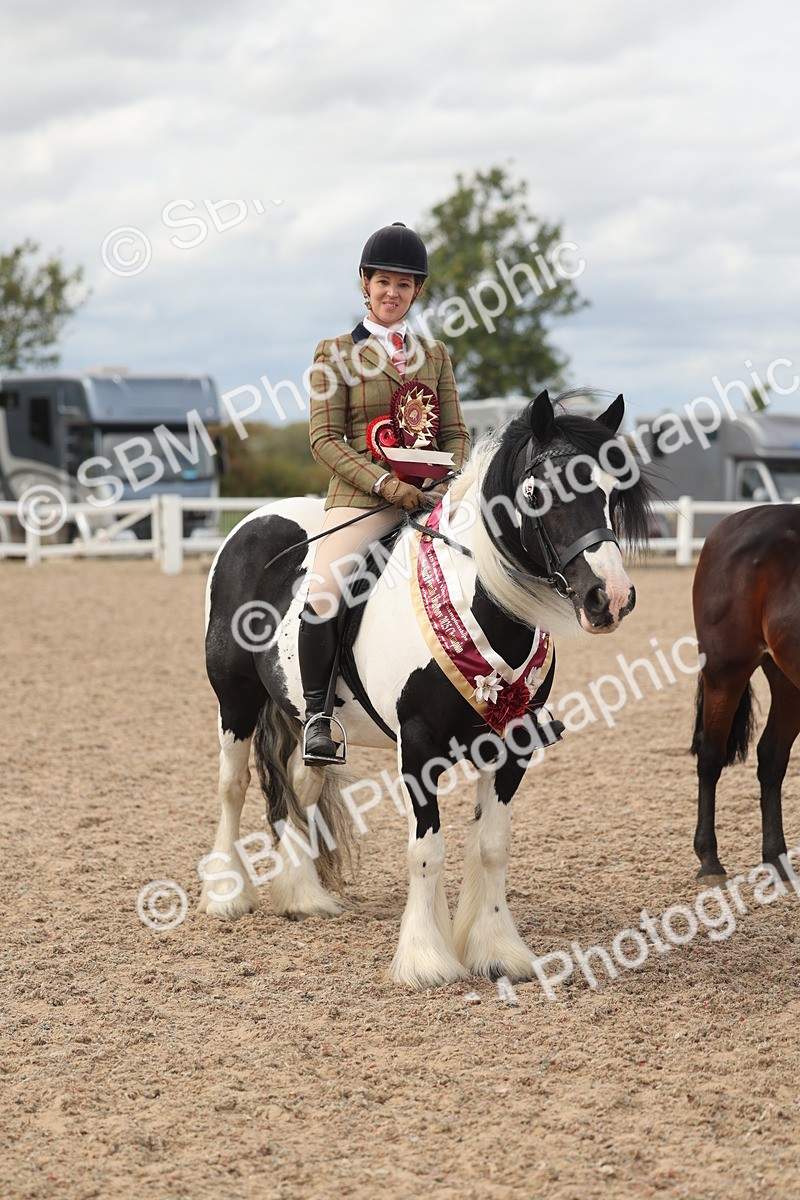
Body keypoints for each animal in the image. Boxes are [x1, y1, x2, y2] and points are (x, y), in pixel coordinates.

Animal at [198, 390, 654, 989]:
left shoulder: (513, 746)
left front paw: (496, 950)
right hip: (235, 698)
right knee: (232, 785)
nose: (612, 598)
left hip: (303, 715)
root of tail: (254, 520)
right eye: (538, 491)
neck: (476, 599)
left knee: (302, 783)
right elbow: (426, 850)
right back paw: (225, 895)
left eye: (612, 490)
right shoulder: (418, 746)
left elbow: (491, 847)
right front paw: (425, 959)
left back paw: (302, 896)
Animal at [691, 504, 800, 879]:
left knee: (772, 757)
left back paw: (777, 857)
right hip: (725, 671)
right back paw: (709, 859)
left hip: (786, 678)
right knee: (711, 754)